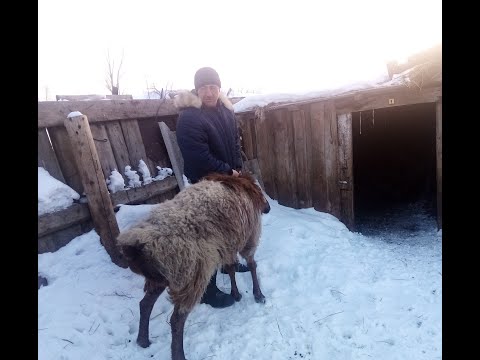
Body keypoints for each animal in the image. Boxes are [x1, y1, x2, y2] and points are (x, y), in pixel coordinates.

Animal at [116, 173, 270, 358]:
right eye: (259, 188)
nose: (268, 208)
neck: (237, 183)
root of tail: (137, 246)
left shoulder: (229, 243)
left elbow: (231, 268)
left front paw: (236, 294)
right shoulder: (249, 236)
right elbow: (252, 265)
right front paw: (258, 295)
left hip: (161, 278)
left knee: (145, 304)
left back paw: (143, 340)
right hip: (192, 273)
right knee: (176, 320)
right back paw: (178, 355)